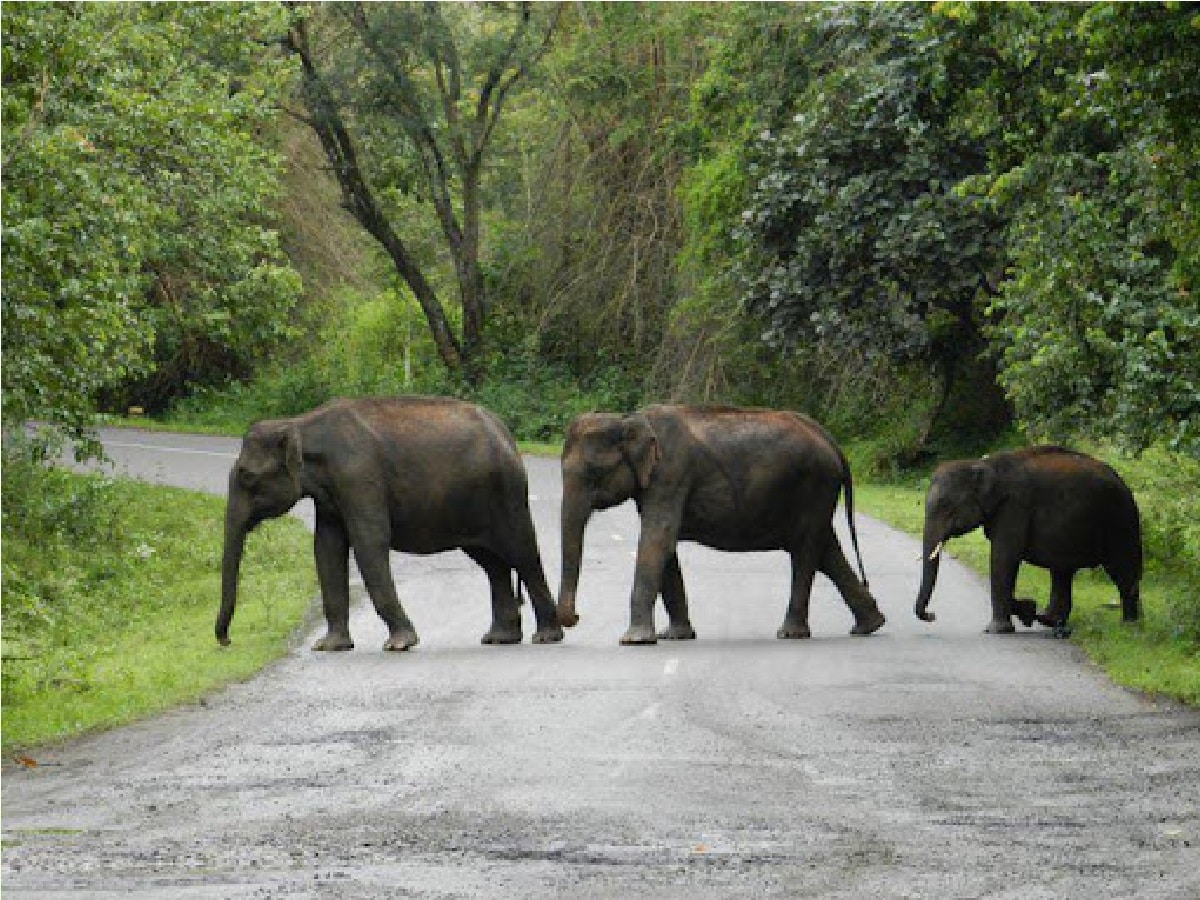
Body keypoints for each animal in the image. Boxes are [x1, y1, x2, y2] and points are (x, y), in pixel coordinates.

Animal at [218, 398, 564, 652]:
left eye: (247, 476)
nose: (226, 641)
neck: (300, 423)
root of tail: (506, 434)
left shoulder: (358, 477)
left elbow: (369, 541)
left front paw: (399, 644)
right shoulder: (330, 496)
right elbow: (326, 548)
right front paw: (329, 646)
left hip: (507, 493)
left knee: (523, 554)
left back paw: (546, 637)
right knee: (493, 563)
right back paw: (500, 639)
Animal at [556, 405, 888, 643]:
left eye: (594, 473)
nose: (574, 618)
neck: (628, 419)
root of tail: (832, 441)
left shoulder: (671, 474)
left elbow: (657, 538)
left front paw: (634, 641)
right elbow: (665, 547)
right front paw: (675, 637)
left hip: (815, 486)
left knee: (806, 552)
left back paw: (791, 633)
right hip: (816, 495)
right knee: (825, 550)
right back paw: (869, 625)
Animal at [912, 448, 1137, 638]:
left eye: (946, 506)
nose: (932, 615)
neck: (984, 464)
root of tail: (1123, 481)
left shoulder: (1014, 507)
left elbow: (1003, 558)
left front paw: (998, 630)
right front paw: (1028, 609)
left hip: (1121, 520)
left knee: (1123, 572)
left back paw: (1129, 628)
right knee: (1062, 571)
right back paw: (1051, 620)